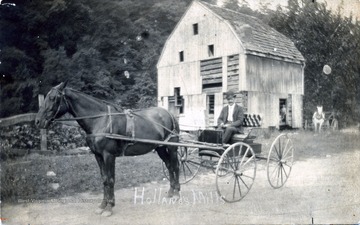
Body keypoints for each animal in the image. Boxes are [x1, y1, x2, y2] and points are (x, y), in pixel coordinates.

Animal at [35, 82, 179, 216]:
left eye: (53, 98)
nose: (38, 121)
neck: (100, 120)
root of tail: (170, 114)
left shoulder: (108, 155)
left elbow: (110, 179)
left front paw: (109, 207)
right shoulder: (98, 155)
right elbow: (104, 179)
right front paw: (102, 205)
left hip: (172, 148)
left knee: (175, 166)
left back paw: (177, 193)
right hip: (160, 148)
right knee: (169, 166)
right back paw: (171, 191)